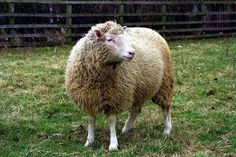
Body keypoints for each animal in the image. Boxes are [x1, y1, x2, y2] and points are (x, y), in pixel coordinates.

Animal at [64, 21, 173, 151]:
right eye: (109, 39)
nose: (132, 53)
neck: (98, 78)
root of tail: (150, 29)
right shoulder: (88, 98)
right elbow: (91, 120)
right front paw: (89, 141)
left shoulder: (114, 97)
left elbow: (111, 121)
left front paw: (113, 144)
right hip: (138, 89)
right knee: (136, 109)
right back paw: (126, 129)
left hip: (164, 83)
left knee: (166, 107)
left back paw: (167, 130)